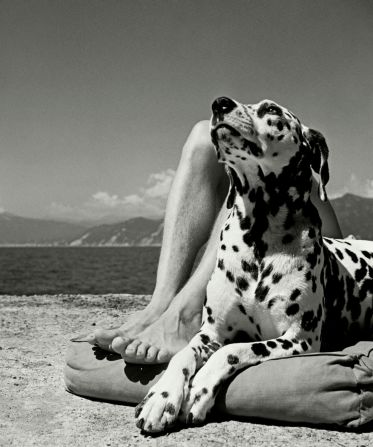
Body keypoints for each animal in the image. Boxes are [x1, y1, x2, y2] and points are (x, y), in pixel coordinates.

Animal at [134, 96, 372, 432]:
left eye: (271, 109)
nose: (219, 103)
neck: (258, 233)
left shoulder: (298, 340)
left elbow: (233, 350)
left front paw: (199, 390)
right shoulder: (211, 333)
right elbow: (182, 354)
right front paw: (162, 395)